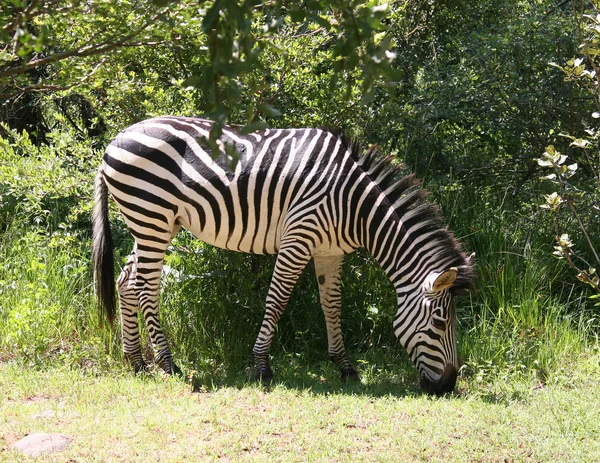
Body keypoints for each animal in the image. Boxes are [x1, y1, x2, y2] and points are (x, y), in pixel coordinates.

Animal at [92, 115, 474, 396]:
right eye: (440, 324)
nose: (447, 386)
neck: (353, 205)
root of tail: (115, 140)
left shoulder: (330, 252)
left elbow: (331, 305)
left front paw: (345, 366)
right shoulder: (298, 237)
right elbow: (277, 301)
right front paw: (262, 366)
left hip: (155, 223)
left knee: (126, 282)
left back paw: (136, 362)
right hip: (151, 216)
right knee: (145, 288)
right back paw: (168, 365)